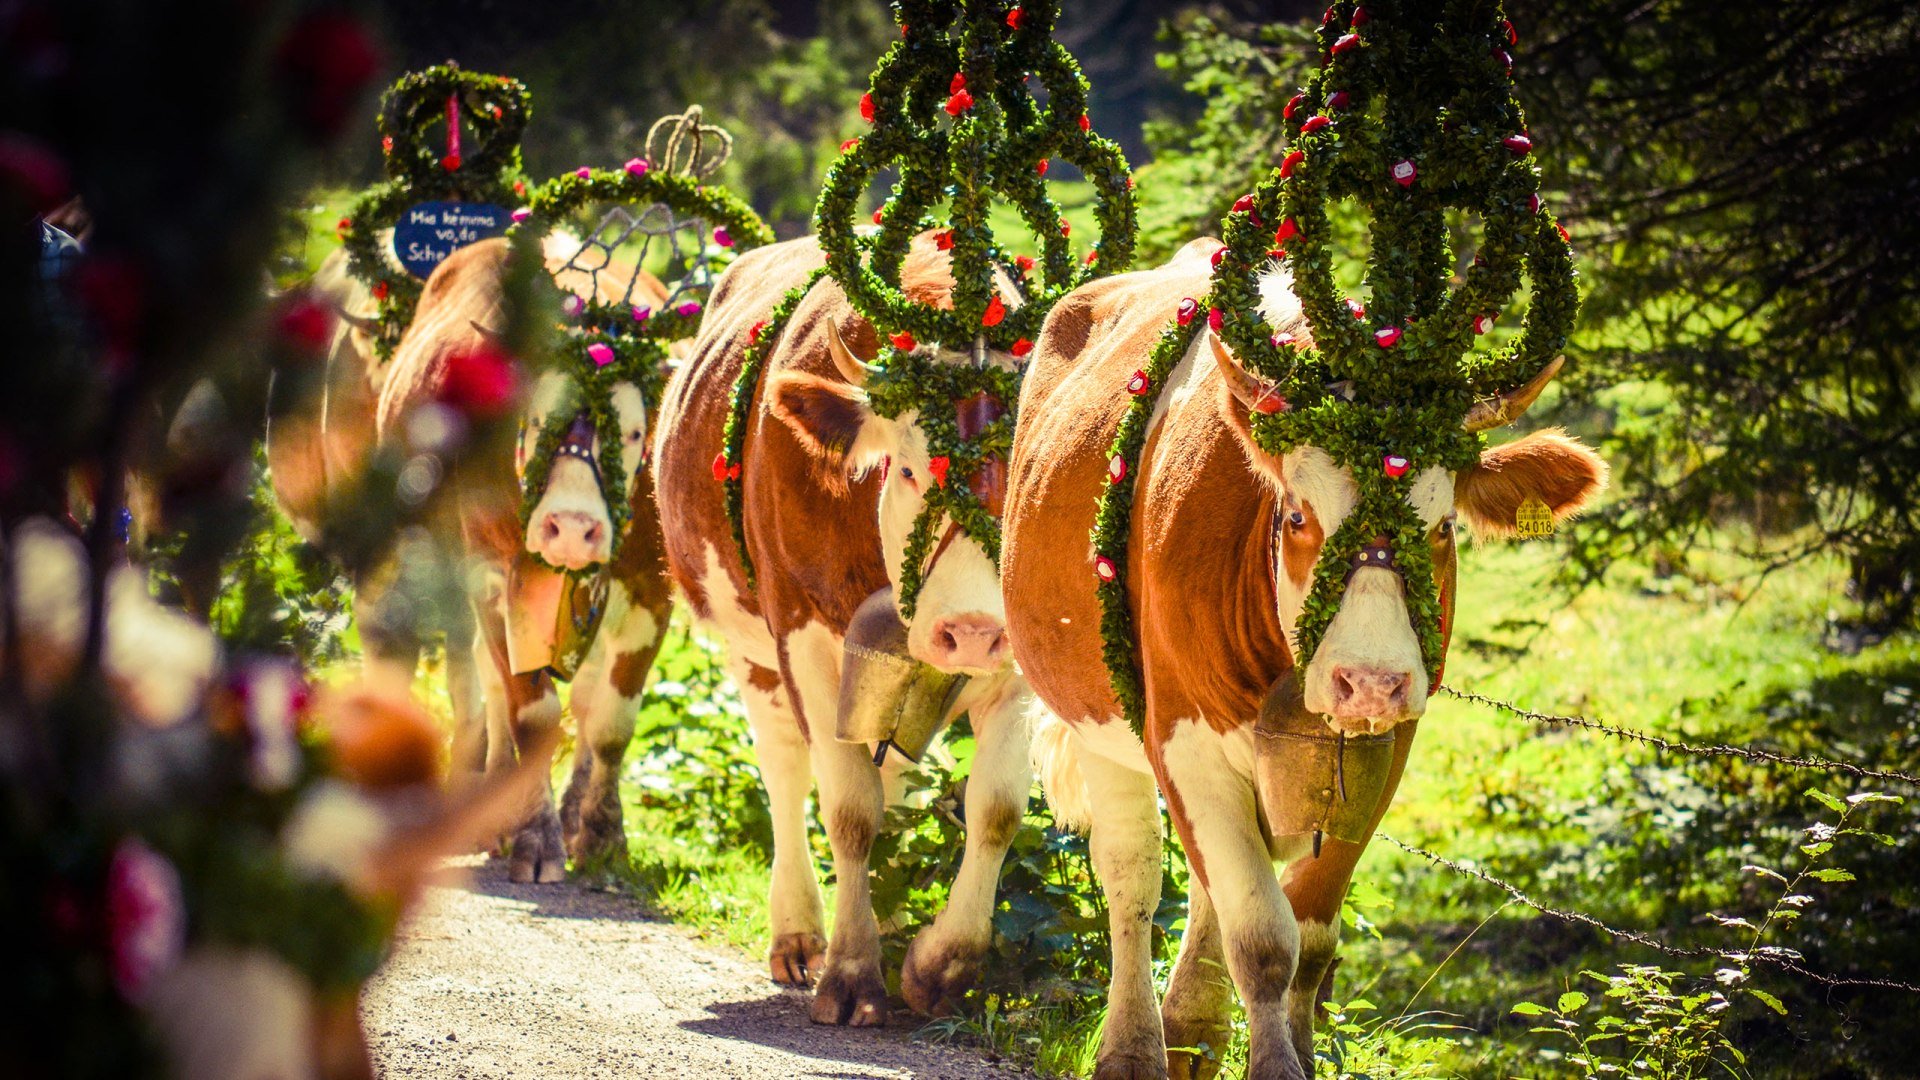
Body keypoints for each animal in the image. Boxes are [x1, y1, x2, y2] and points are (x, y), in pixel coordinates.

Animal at [370, 239, 679, 880]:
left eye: (635, 433)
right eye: (537, 421)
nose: (573, 529)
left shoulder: (650, 586)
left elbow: (611, 723)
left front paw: (602, 836)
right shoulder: (494, 578)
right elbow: (529, 716)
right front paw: (534, 837)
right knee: (487, 685)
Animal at [648, 231, 1036, 1022]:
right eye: (911, 471)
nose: (971, 632)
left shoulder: (1013, 666)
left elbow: (996, 809)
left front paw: (939, 963)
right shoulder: (801, 637)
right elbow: (850, 808)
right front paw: (852, 972)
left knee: (891, 773)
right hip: (750, 651)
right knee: (786, 768)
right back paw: (800, 934)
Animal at [1006, 8, 1605, 1076]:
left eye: (1442, 526)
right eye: (1294, 515)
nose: (1366, 680)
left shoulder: (1385, 751)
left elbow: (1310, 942)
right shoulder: (1181, 738)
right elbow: (1262, 937)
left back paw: (1193, 1029)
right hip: (1096, 715)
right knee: (1132, 881)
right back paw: (1136, 1043)